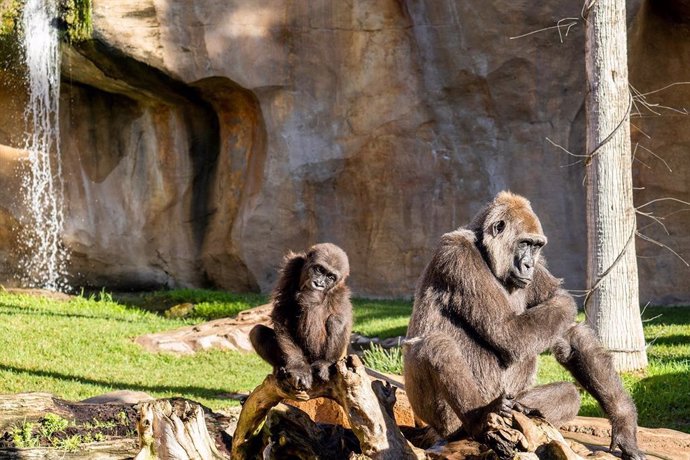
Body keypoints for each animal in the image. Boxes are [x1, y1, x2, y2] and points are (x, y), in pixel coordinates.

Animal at [250, 243, 352, 390]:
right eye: (319, 269)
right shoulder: (292, 266)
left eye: (331, 277)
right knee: (257, 332)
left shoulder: (340, 292)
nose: (319, 284)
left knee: (336, 320)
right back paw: (280, 368)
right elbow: (283, 312)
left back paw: (326, 362)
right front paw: (298, 368)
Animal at [400, 191, 644, 460]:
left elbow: (570, 336)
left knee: (568, 394)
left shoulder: (537, 271)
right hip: (441, 420)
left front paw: (624, 424)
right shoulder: (457, 254)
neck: (485, 251)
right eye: (524, 243)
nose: (528, 265)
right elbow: (507, 331)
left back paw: (522, 409)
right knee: (437, 345)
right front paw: (567, 301)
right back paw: (480, 420)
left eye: (536, 246)